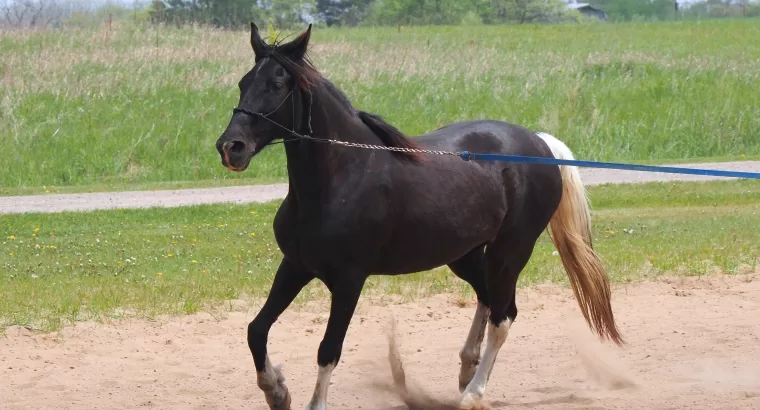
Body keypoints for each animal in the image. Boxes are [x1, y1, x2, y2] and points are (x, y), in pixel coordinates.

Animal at [215, 23, 624, 410]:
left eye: (276, 84)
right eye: (244, 82)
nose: (231, 147)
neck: (342, 177)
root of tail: (540, 144)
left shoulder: (349, 279)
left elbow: (328, 350)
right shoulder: (296, 265)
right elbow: (256, 329)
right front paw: (276, 391)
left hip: (510, 252)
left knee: (504, 315)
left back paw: (473, 393)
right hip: (466, 255)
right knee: (488, 299)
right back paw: (466, 367)